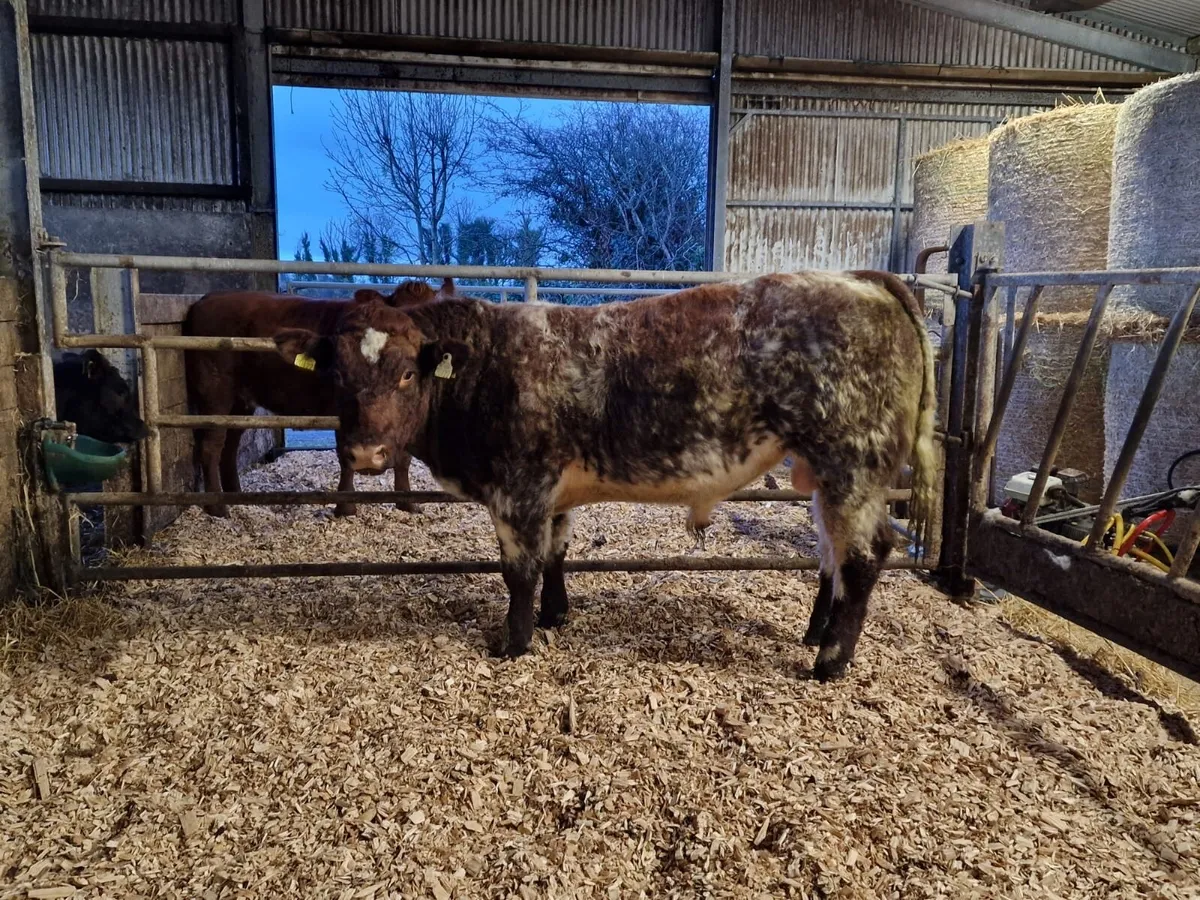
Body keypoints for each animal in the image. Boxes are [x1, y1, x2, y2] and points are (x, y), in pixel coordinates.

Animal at [184, 279, 456, 518]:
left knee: (230, 445)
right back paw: (217, 507)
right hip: (214, 392)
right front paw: (346, 508)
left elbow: (404, 459)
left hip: (241, 401)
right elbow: (345, 459)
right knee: (211, 446)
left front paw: (407, 504)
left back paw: (236, 496)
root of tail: (210, 298)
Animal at [271, 272, 936, 681]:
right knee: (831, 554)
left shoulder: (517, 488)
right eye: (335, 375)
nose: (365, 454)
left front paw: (513, 642)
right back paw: (815, 631)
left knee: (865, 554)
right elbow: (557, 551)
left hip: (854, 463)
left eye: (409, 373)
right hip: (825, 473)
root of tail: (859, 279)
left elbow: (519, 569)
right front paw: (555, 615)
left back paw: (829, 660)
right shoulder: (553, 490)